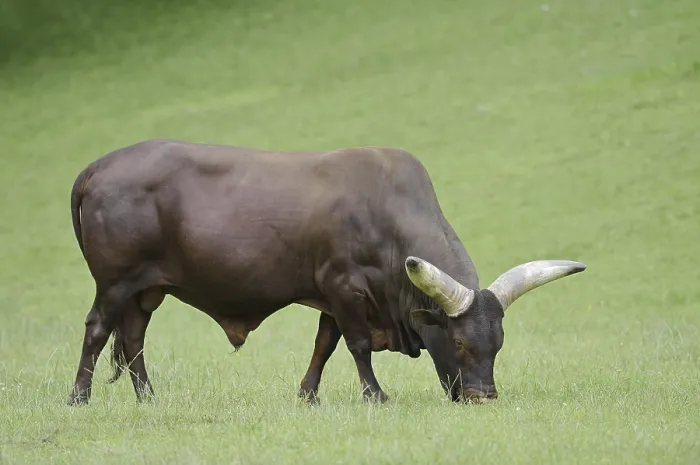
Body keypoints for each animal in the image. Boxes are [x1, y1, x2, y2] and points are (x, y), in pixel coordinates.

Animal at [66, 139, 585, 406]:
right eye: (458, 342)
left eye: (498, 343)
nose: (484, 397)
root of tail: (101, 165)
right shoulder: (345, 287)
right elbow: (356, 346)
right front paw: (375, 396)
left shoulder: (333, 297)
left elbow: (324, 345)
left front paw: (308, 395)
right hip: (114, 282)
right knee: (97, 330)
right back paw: (79, 396)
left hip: (145, 289)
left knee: (133, 337)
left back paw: (148, 397)